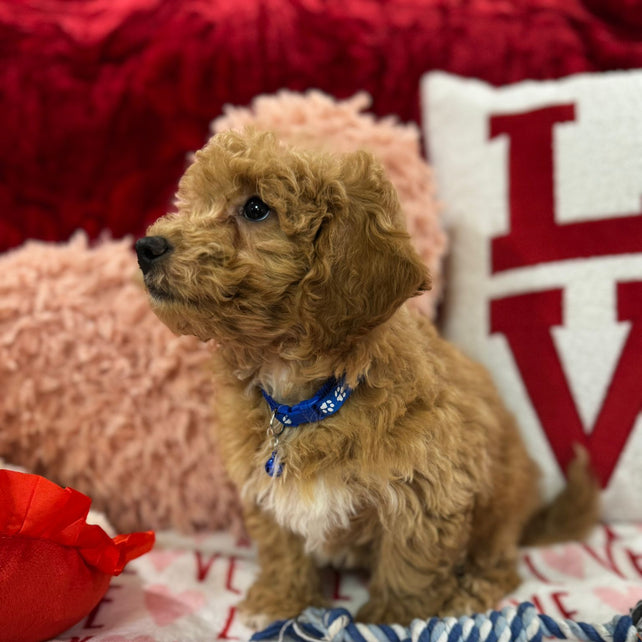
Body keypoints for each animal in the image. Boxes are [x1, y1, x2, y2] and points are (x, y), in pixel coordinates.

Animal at [136, 130, 600, 624]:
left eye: (256, 208)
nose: (145, 247)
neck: (309, 398)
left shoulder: (429, 490)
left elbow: (410, 565)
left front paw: (392, 619)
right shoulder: (265, 488)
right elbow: (282, 547)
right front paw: (282, 600)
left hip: (500, 499)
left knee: (499, 562)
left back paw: (470, 590)